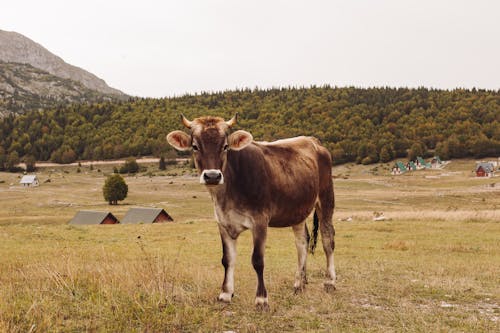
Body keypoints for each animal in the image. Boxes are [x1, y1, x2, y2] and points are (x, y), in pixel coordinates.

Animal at [167, 114, 336, 308]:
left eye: (225, 146)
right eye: (195, 146)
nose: (212, 176)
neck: (227, 195)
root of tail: (312, 140)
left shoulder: (260, 220)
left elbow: (257, 260)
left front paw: (261, 299)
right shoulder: (223, 222)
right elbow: (227, 259)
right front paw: (225, 294)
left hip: (326, 198)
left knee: (328, 238)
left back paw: (330, 282)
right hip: (298, 210)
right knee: (302, 242)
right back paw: (298, 284)